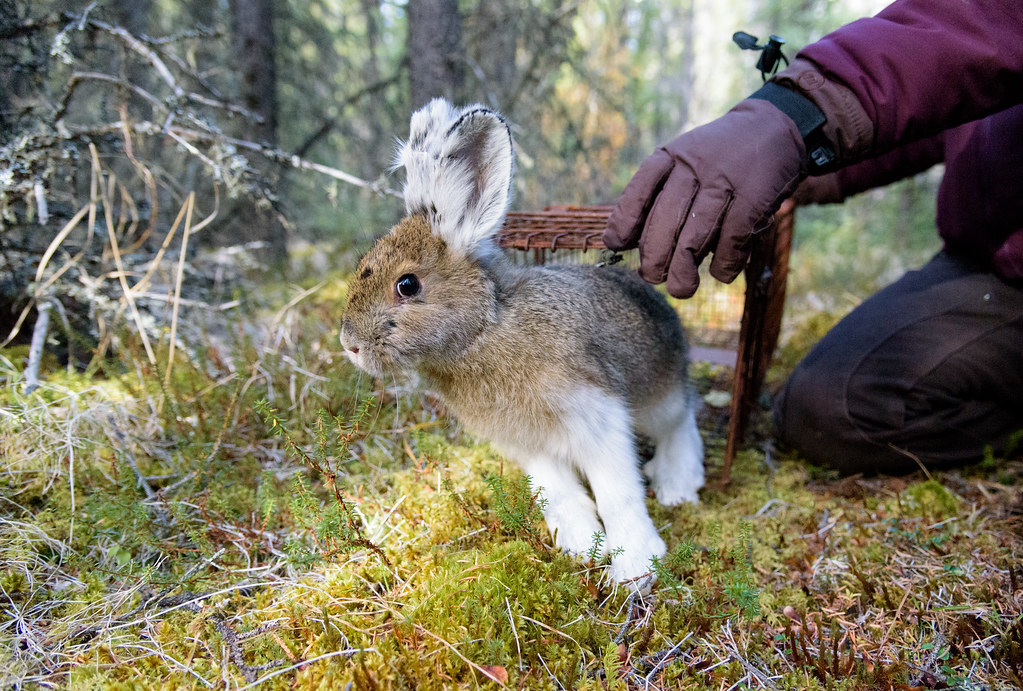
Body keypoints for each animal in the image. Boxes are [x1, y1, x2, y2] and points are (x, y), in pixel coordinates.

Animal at [340, 99, 704, 585]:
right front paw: (582, 546)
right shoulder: (528, 445)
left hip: (658, 397)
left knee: (681, 419)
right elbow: (558, 492)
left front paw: (636, 566)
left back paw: (678, 484)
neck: (483, 331)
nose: (349, 344)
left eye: (408, 284)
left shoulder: (595, 415)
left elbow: (617, 492)